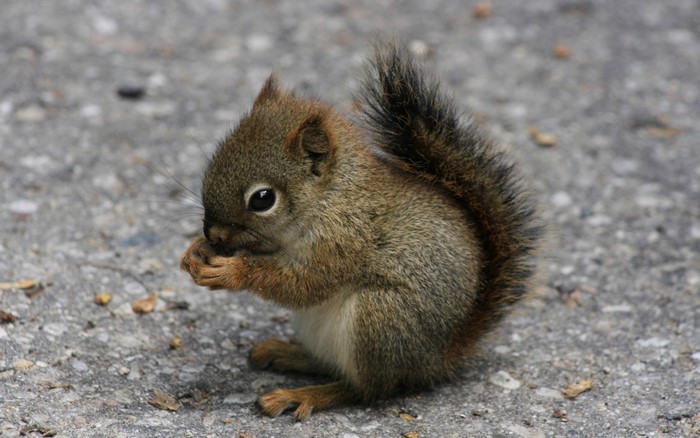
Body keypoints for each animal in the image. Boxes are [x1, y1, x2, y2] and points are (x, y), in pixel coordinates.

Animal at [180, 42, 541, 421]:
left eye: (263, 199)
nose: (214, 234)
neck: (331, 197)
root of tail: (436, 358)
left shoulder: (343, 240)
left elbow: (305, 284)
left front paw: (231, 272)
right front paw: (195, 252)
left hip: (380, 318)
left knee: (366, 389)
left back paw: (305, 394)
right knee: (330, 365)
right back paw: (287, 353)